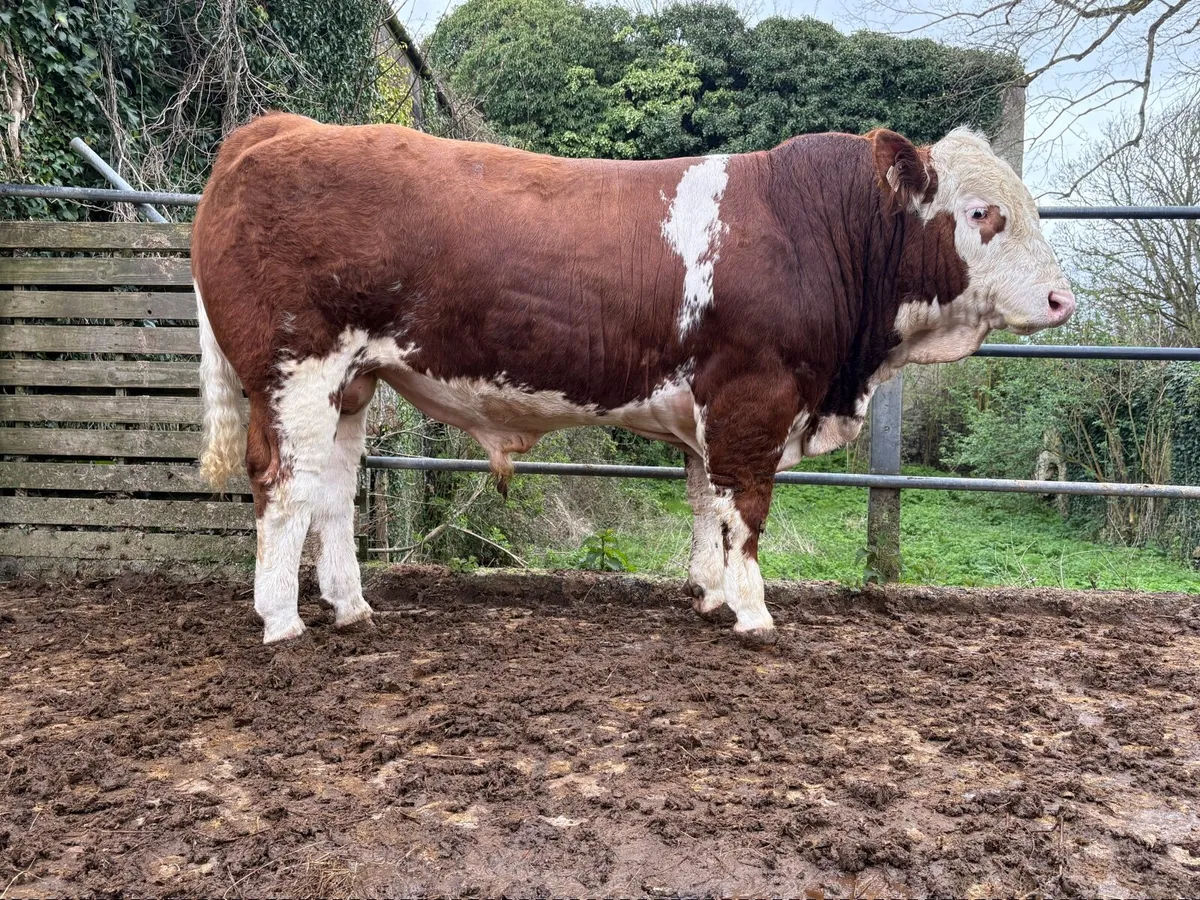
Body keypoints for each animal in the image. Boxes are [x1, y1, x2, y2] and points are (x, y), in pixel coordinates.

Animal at [191, 112, 1075, 646]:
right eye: (983, 213)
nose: (1065, 300)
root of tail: (277, 128)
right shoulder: (755, 396)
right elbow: (747, 508)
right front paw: (754, 612)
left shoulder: (712, 410)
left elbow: (706, 503)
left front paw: (711, 594)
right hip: (296, 371)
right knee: (282, 483)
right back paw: (282, 620)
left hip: (354, 381)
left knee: (333, 493)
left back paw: (351, 606)